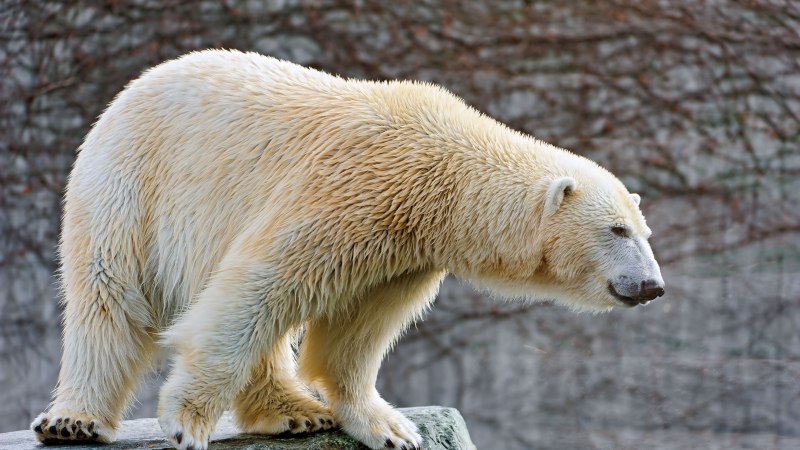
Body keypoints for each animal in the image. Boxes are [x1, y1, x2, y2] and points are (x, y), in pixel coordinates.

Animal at [31, 49, 664, 450]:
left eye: (644, 232)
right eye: (617, 231)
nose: (652, 285)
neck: (440, 170)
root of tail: (128, 91)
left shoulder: (402, 248)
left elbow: (356, 330)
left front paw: (390, 428)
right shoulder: (346, 191)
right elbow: (256, 289)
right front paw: (186, 421)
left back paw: (293, 413)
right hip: (132, 185)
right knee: (109, 296)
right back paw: (73, 421)